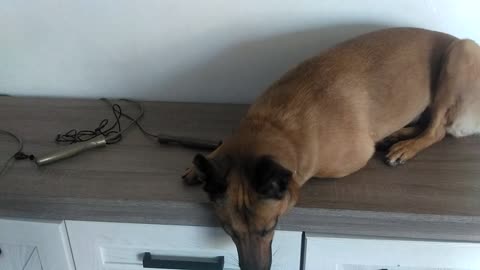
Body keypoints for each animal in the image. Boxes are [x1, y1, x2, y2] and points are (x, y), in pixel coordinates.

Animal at [181, 28, 480, 270]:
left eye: (270, 229)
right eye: (229, 232)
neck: (279, 126)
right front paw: (204, 162)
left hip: (461, 53)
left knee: (437, 128)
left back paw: (406, 146)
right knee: (428, 121)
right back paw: (398, 134)